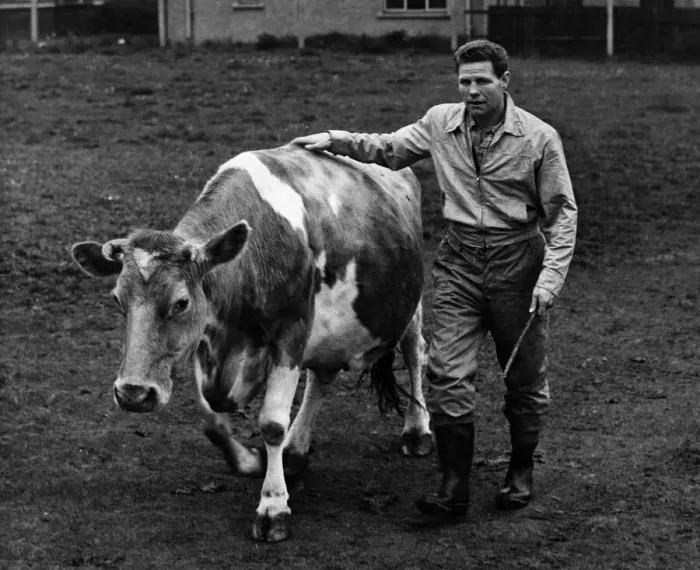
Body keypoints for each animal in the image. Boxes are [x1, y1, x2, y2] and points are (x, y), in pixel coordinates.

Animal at [70, 145, 432, 542]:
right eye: (117, 299)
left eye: (181, 302)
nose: (133, 394)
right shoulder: (205, 340)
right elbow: (211, 418)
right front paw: (247, 460)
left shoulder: (291, 333)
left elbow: (272, 423)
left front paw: (273, 506)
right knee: (322, 377)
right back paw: (296, 447)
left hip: (409, 303)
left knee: (414, 352)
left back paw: (417, 429)